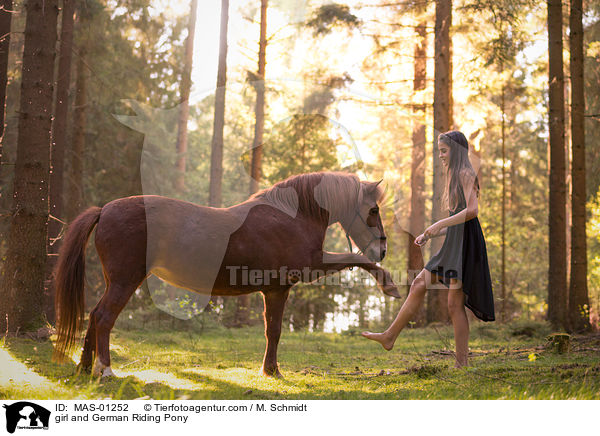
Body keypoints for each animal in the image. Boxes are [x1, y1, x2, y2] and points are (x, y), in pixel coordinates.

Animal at [52, 172, 398, 376]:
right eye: (374, 210)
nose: (382, 249)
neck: (292, 217)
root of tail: (105, 210)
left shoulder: (277, 288)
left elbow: (272, 331)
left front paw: (270, 370)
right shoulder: (301, 274)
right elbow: (353, 258)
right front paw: (389, 285)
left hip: (115, 281)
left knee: (93, 316)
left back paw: (84, 368)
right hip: (125, 281)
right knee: (104, 317)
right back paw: (105, 370)